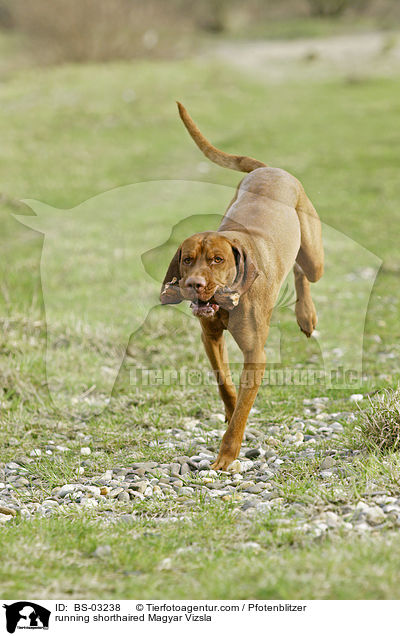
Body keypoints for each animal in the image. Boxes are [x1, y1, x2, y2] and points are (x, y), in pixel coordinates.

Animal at [159, 104, 322, 470]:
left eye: (217, 260)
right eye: (187, 259)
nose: (193, 284)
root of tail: (268, 169)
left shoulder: (255, 355)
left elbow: (242, 410)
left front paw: (226, 454)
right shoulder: (210, 337)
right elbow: (225, 384)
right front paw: (233, 411)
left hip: (313, 255)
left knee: (303, 271)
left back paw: (306, 315)